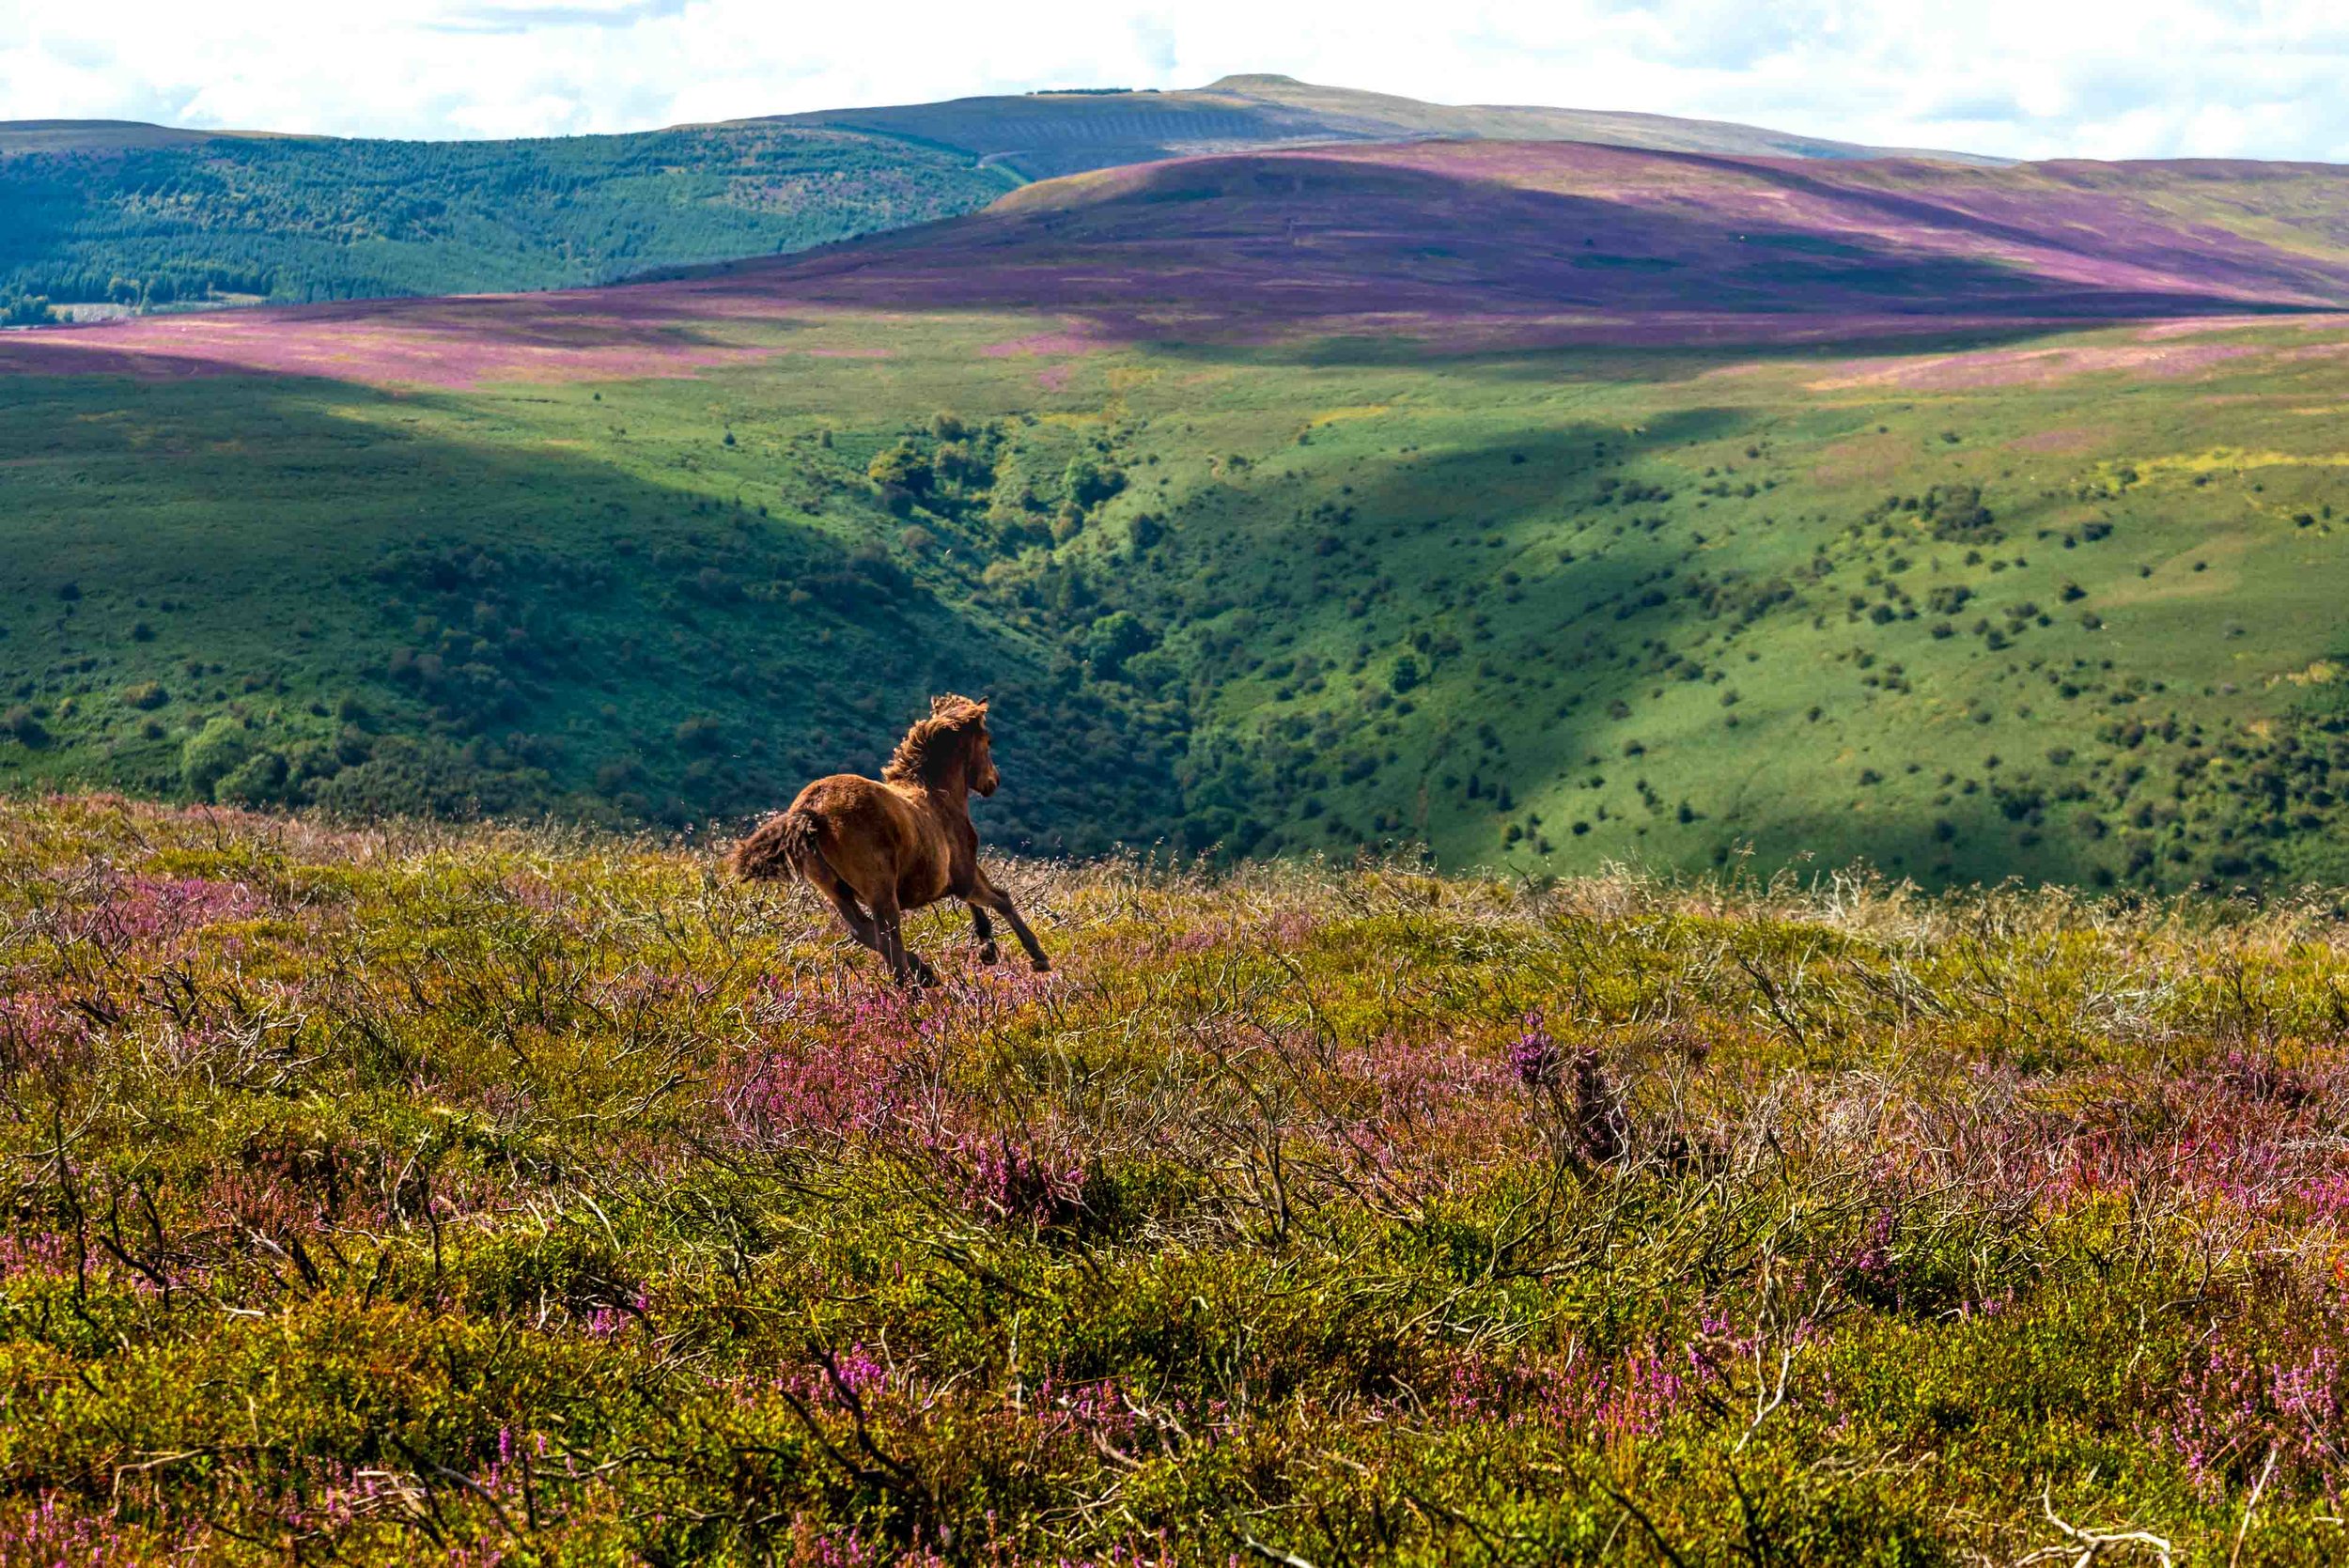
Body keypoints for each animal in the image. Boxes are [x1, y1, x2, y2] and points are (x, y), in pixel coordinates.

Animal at [728, 694, 1052, 986]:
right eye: (989, 740)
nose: (993, 782)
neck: (939, 795)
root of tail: (811, 811)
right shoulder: (962, 876)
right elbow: (1001, 898)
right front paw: (1037, 957)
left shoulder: (960, 873)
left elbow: (984, 896)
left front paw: (987, 947)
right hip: (880, 888)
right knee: (886, 937)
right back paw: (911, 995)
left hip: (835, 890)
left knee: (864, 931)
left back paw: (924, 974)